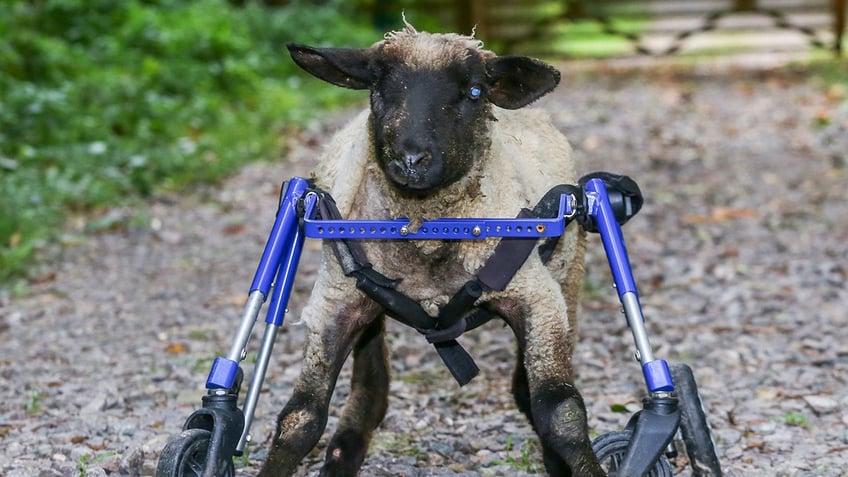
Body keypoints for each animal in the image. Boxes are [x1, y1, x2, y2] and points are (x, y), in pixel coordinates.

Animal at [258, 21, 604, 476]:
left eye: (475, 91)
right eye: (378, 87)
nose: (411, 159)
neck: (426, 230)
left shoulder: (536, 297)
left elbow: (561, 412)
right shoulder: (334, 303)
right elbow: (300, 418)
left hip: (567, 275)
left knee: (525, 386)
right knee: (372, 385)